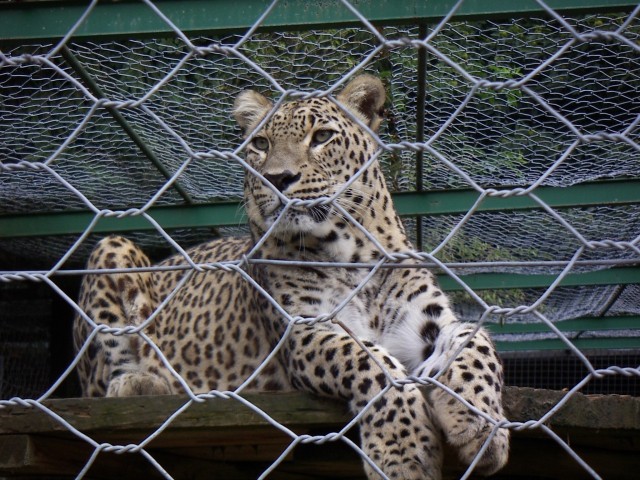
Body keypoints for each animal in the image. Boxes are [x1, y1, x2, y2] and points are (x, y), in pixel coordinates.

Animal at [71, 75, 510, 480]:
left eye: (322, 137)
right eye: (261, 144)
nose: (278, 178)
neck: (353, 255)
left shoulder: (430, 322)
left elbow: (476, 341)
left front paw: (481, 426)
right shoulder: (304, 330)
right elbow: (372, 361)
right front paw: (403, 451)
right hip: (111, 248)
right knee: (104, 372)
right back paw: (143, 383)